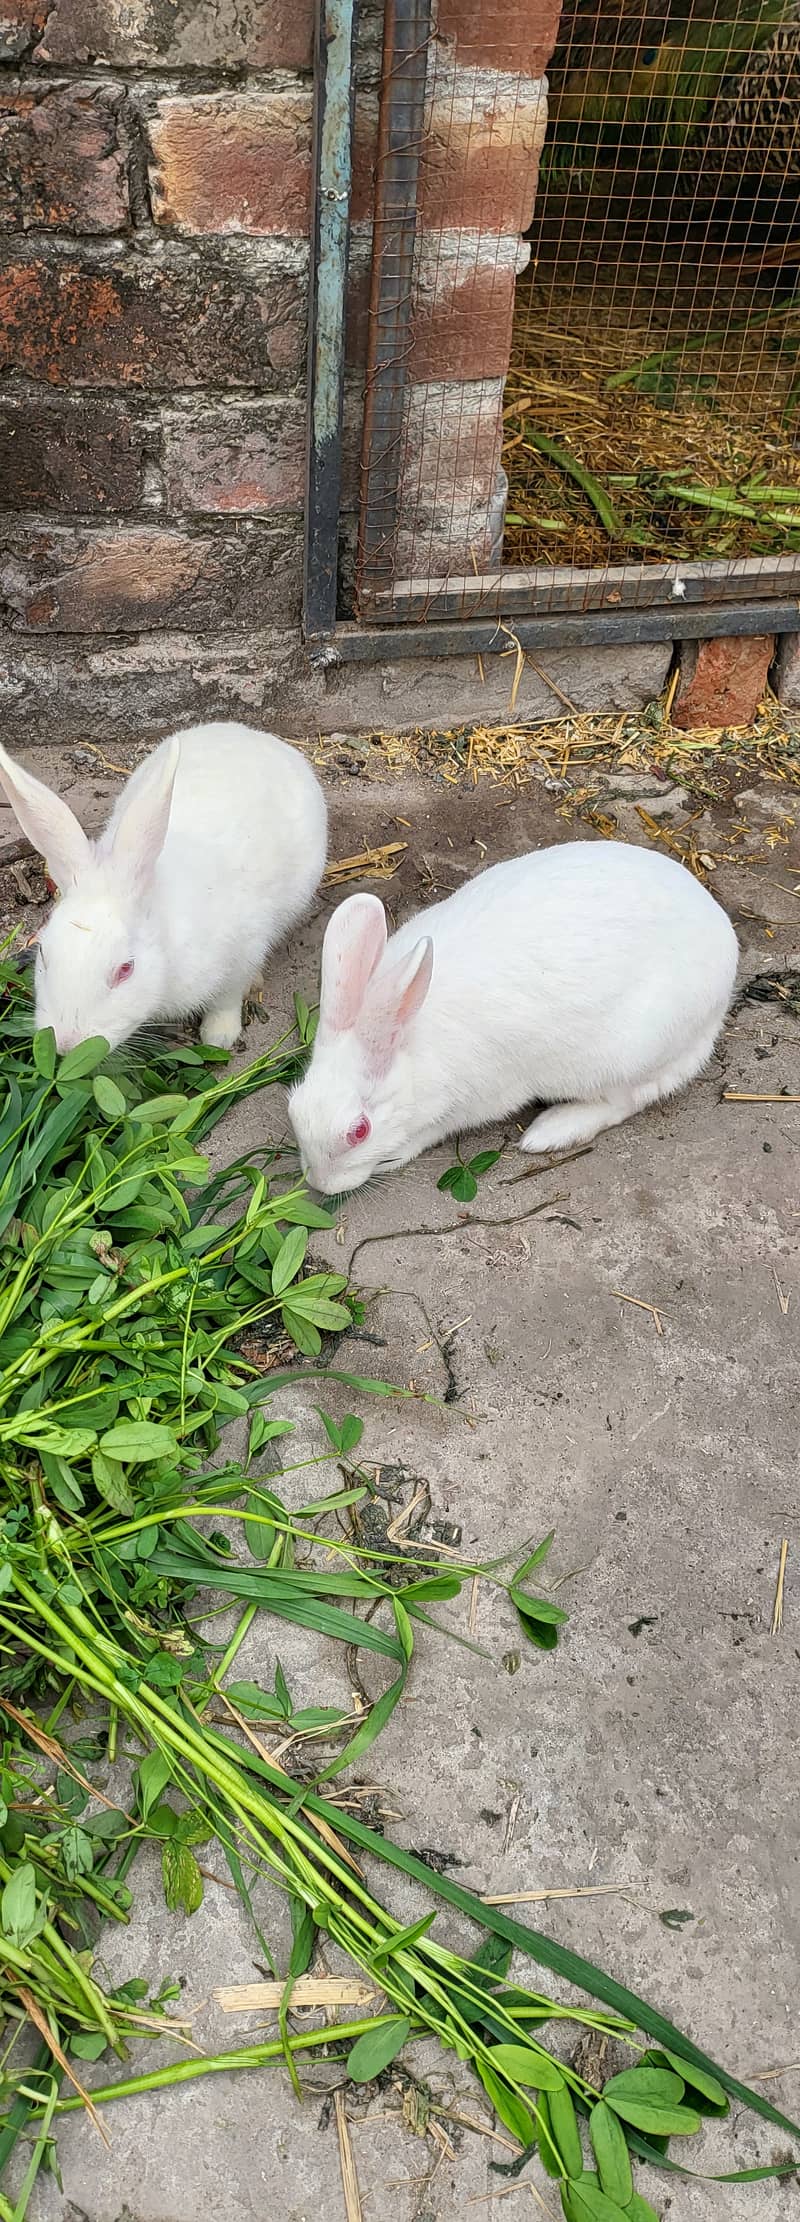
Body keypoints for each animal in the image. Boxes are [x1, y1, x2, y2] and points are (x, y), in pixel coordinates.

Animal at [0, 715, 328, 1053]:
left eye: (126, 969)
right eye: (44, 955)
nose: (67, 1045)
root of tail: (254, 735)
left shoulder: (243, 951)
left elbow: (227, 998)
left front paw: (219, 1036)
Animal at [286, 835, 737, 1199]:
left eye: (359, 1131)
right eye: (294, 1105)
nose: (319, 1184)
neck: (407, 1041)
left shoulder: (473, 1101)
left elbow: (430, 1132)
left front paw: (395, 1155)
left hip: (621, 1055)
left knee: (625, 1101)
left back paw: (548, 1132)